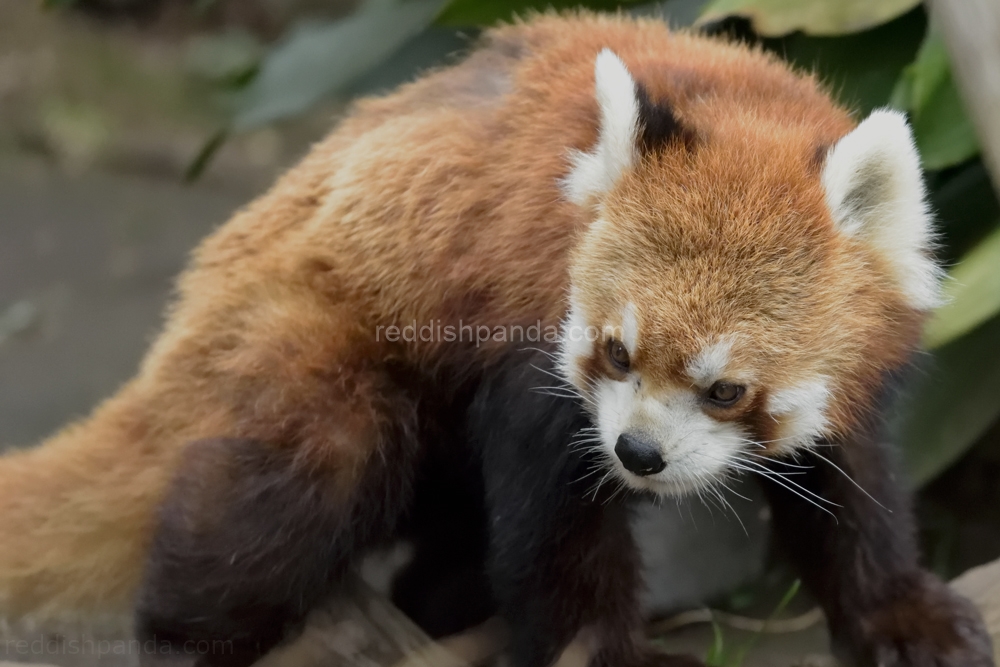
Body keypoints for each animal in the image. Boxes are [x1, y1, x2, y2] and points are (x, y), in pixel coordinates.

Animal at [0, 10, 992, 667]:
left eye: (725, 390)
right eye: (618, 352)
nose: (638, 454)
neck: (744, 103)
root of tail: (198, 302)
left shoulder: (860, 378)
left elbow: (853, 490)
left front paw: (902, 613)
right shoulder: (530, 337)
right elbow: (555, 531)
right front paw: (601, 651)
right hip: (310, 337)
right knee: (289, 484)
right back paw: (196, 634)